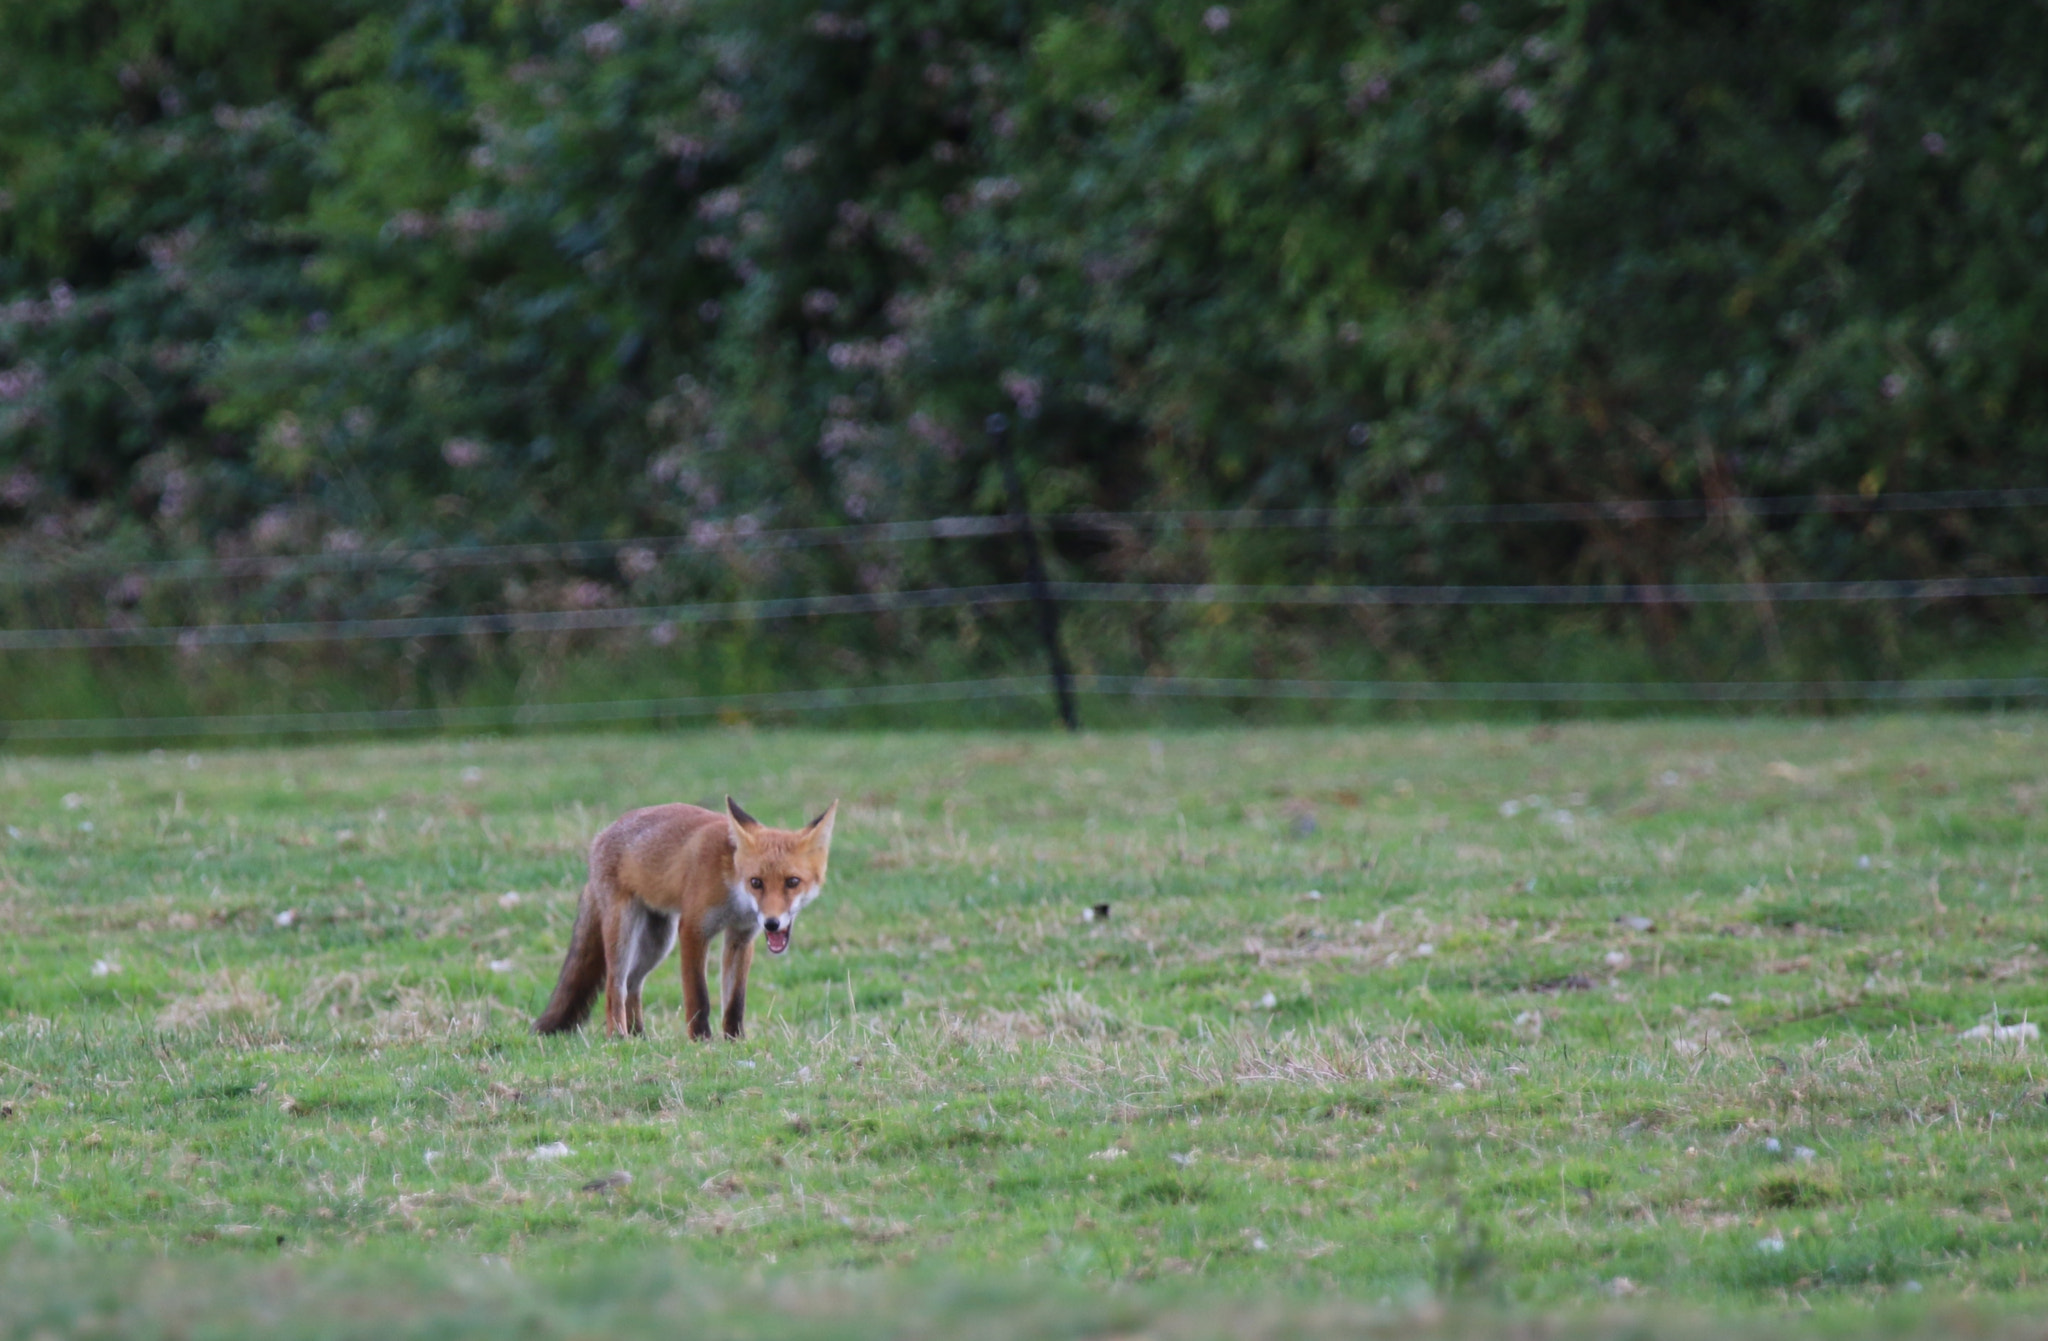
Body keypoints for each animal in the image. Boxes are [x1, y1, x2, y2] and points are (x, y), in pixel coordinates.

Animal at [533, 796, 837, 1040]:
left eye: (792, 882)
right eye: (756, 882)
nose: (771, 923)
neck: (732, 888)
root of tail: (601, 835)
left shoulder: (741, 936)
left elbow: (735, 1000)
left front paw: (735, 1041)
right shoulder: (693, 929)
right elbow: (698, 996)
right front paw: (701, 1040)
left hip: (658, 942)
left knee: (633, 984)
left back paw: (640, 1036)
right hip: (624, 933)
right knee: (614, 988)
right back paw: (618, 1037)